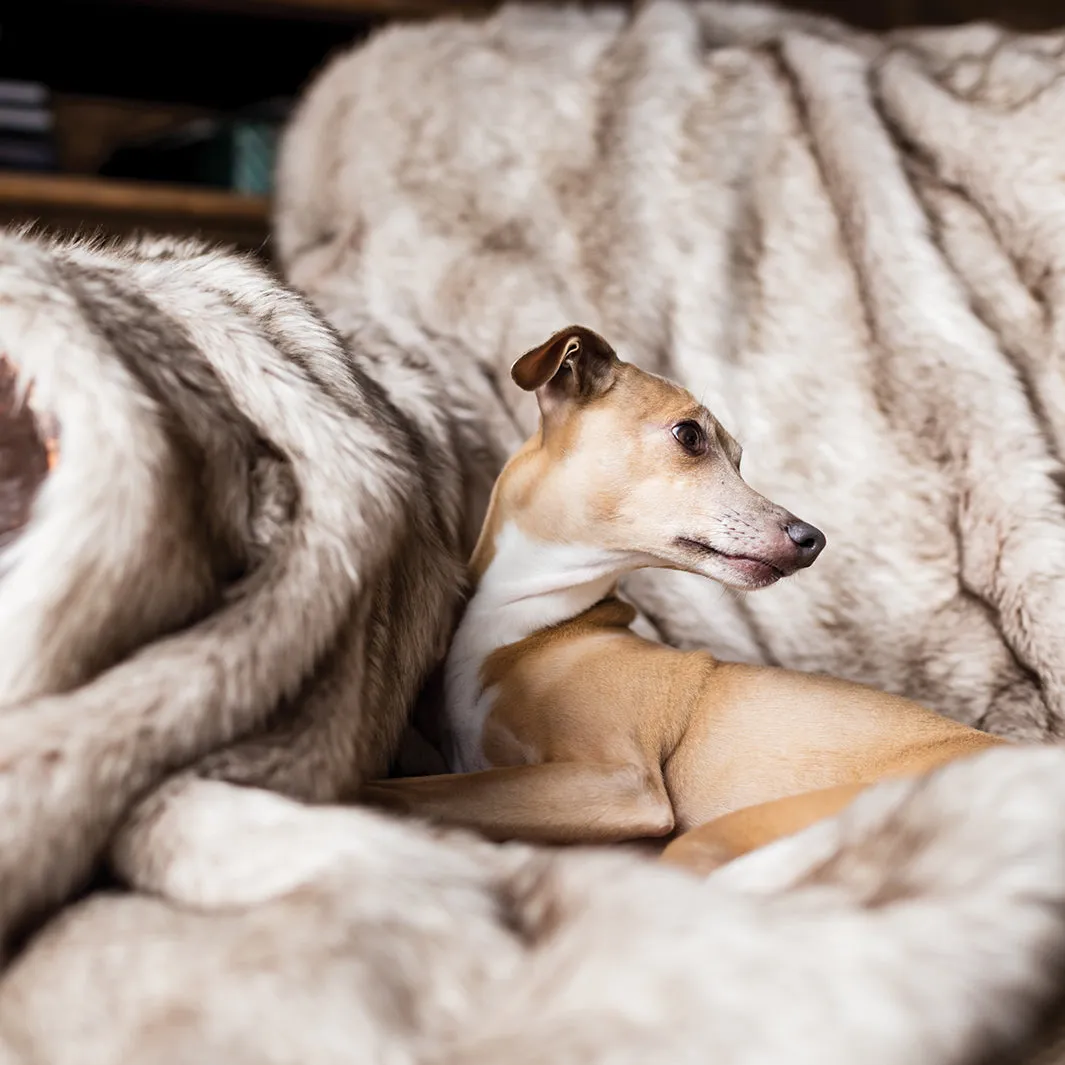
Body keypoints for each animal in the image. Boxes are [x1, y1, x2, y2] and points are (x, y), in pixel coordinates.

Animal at [359, 325, 1005, 873]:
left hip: (722, 835)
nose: (812, 540)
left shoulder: (621, 783)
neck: (529, 621)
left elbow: (394, 791)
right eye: (690, 435)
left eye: (738, 458)